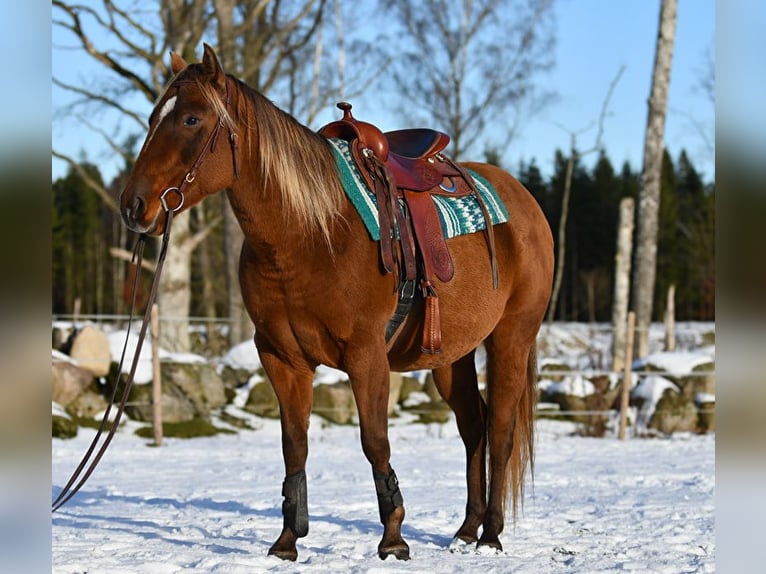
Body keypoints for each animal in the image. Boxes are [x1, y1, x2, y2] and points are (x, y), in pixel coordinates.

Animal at [119, 44, 553, 561]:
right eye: (153, 117)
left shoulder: (366, 356)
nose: (132, 206)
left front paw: (393, 540)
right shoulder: (281, 358)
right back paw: (467, 530)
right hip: (452, 355)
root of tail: (525, 202)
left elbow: (375, 442)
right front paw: (287, 540)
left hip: (510, 339)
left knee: (502, 429)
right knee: (474, 426)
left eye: (190, 119)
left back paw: (490, 535)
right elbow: (295, 445)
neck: (312, 232)